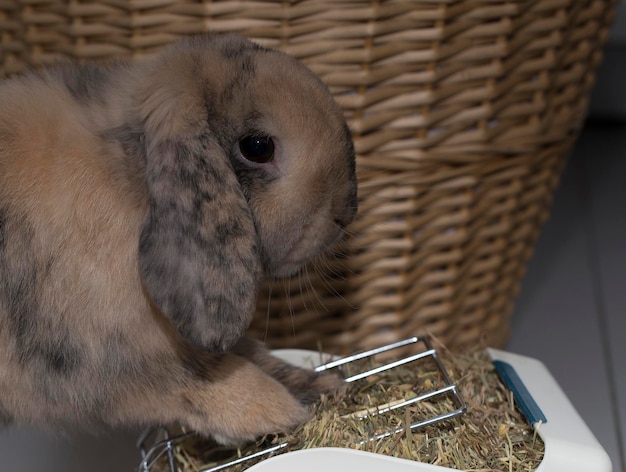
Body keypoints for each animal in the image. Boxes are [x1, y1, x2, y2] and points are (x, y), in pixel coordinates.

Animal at [0, 34, 356, 446]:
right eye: (258, 147)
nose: (345, 213)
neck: (129, 185)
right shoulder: (79, 361)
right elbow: (184, 376)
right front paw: (272, 409)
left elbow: (249, 353)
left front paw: (323, 384)